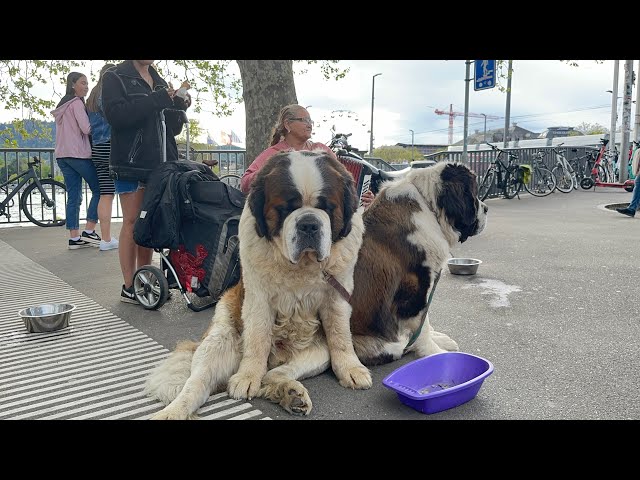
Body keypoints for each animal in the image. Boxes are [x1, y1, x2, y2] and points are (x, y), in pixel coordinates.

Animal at [145, 151, 372, 420]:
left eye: (327, 207)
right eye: (285, 209)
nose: (308, 224)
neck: (300, 267)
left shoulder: (336, 297)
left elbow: (340, 336)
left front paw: (351, 368)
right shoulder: (258, 300)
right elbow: (257, 338)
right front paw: (246, 376)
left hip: (317, 351)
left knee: (273, 374)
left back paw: (289, 393)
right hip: (219, 338)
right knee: (197, 381)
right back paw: (173, 411)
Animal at [348, 160, 488, 364]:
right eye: (474, 194)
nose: (486, 208)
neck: (429, 206)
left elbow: (426, 322)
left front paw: (438, 340)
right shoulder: (416, 288)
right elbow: (422, 325)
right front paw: (434, 352)